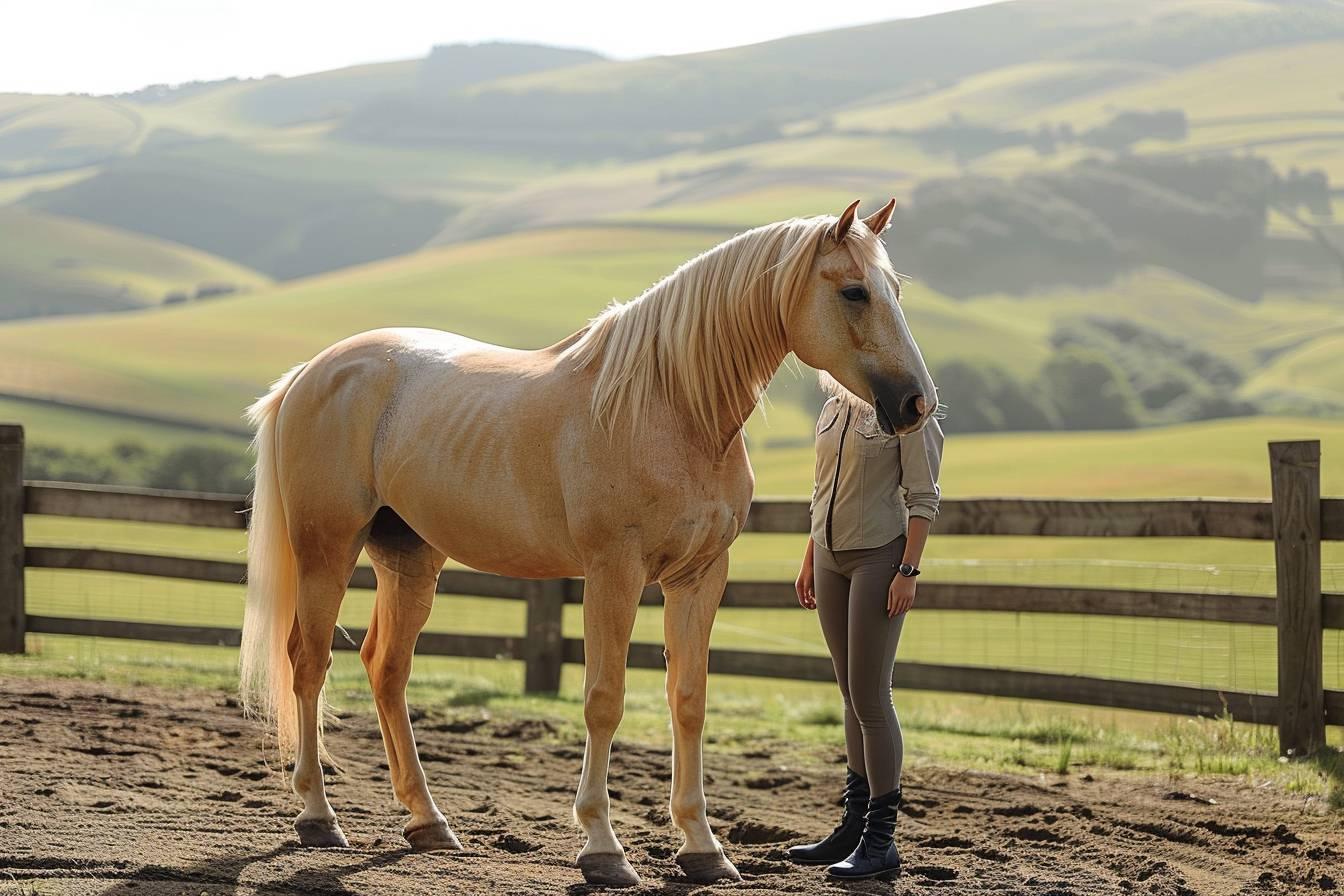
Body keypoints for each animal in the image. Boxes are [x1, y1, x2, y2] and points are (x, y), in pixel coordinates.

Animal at [239, 198, 937, 887]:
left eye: (895, 290)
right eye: (853, 292)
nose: (915, 403)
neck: (668, 406)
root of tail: (313, 372)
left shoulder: (700, 577)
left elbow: (689, 701)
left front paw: (702, 848)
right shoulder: (613, 573)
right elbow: (604, 700)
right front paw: (603, 847)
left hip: (409, 559)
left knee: (387, 670)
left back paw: (428, 823)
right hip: (328, 551)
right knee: (309, 662)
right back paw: (318, 817)